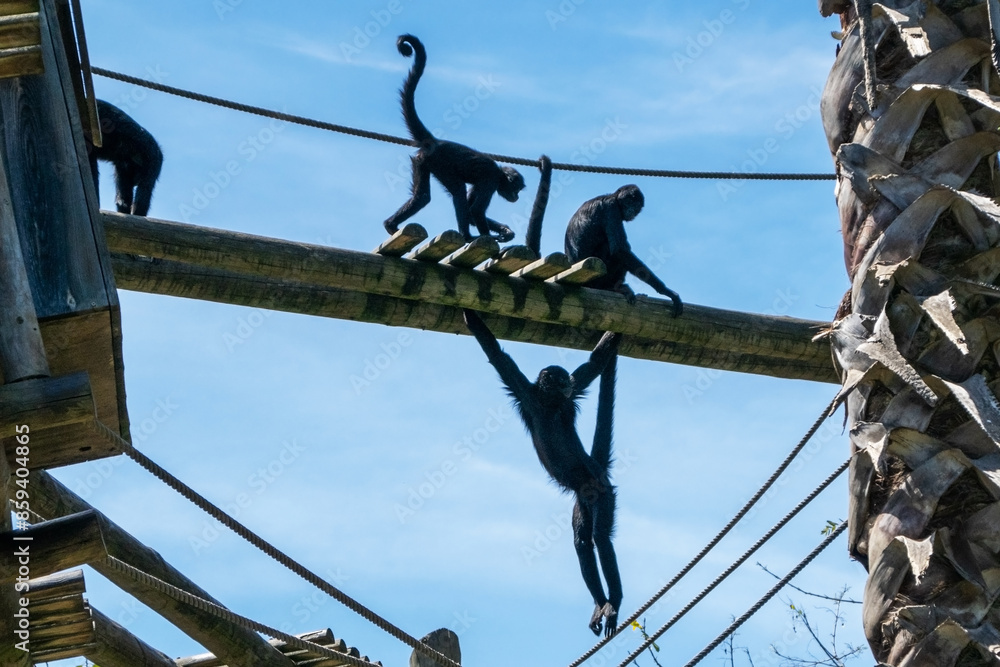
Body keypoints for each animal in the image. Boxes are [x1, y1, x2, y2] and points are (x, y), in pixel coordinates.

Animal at [384, 35, 525, 243]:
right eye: (517, 189)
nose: (516, 197)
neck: (499, 172)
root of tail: (435, 142)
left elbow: (471, 212)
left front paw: (506, 232)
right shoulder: (490, 178)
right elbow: (475, 211)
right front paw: (489, 238)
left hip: (422, 161)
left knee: (422, 197)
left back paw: (390, 224)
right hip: (441, 164)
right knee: (458, 190)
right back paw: (467, 236)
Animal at [463, 308, 624, 638]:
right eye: (559, 380)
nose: (566, 384)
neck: (549, 405)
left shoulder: (566, 397)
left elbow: (594, 363)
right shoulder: (525, 392)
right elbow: (495, 352)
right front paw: (470, 315)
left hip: (601, 491)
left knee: (600, 538)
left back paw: (613, 602)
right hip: (583, 499)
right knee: (582, 542)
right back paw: (600, 603)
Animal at [564, 185, 683, 317]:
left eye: (636, 205)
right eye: (629, 202)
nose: (631, 209)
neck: (612, 198)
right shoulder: (611, 209)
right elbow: (619, 250)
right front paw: (666, 291)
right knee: (609, 247)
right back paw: (613, 288)